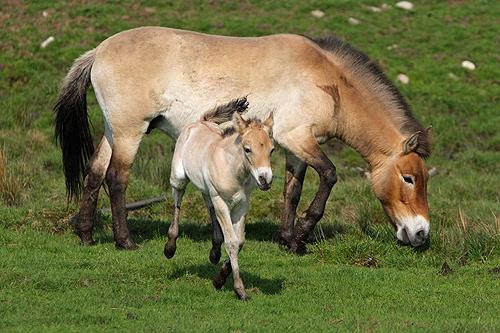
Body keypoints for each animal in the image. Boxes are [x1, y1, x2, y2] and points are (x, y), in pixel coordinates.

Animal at [53, 27, 430, 253]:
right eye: (409, 178)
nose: (421, 234)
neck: (327, 80)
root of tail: (98, 51)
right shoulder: (298, 138)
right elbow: (329, 175)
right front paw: (303, 234)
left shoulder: (295, 148)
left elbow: (292, 192)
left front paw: (288, 240)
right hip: (130, 132)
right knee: (116, 178)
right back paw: (125, 241)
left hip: (113, 131)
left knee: (94, 173)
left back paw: (86, 235)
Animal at [164, 98, 274, 298]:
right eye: (247, 149)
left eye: (272, 150)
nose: (265, 179)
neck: (232, 169)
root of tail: (200, 122)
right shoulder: (222, 202)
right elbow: (231, 242)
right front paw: (239, 289)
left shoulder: (242, 205)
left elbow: (240, 242)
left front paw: (219, 279)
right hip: (178, 178)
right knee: (178, 201)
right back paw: (170, 247)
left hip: (207, 190)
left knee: (208, 205)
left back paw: (214, 252)